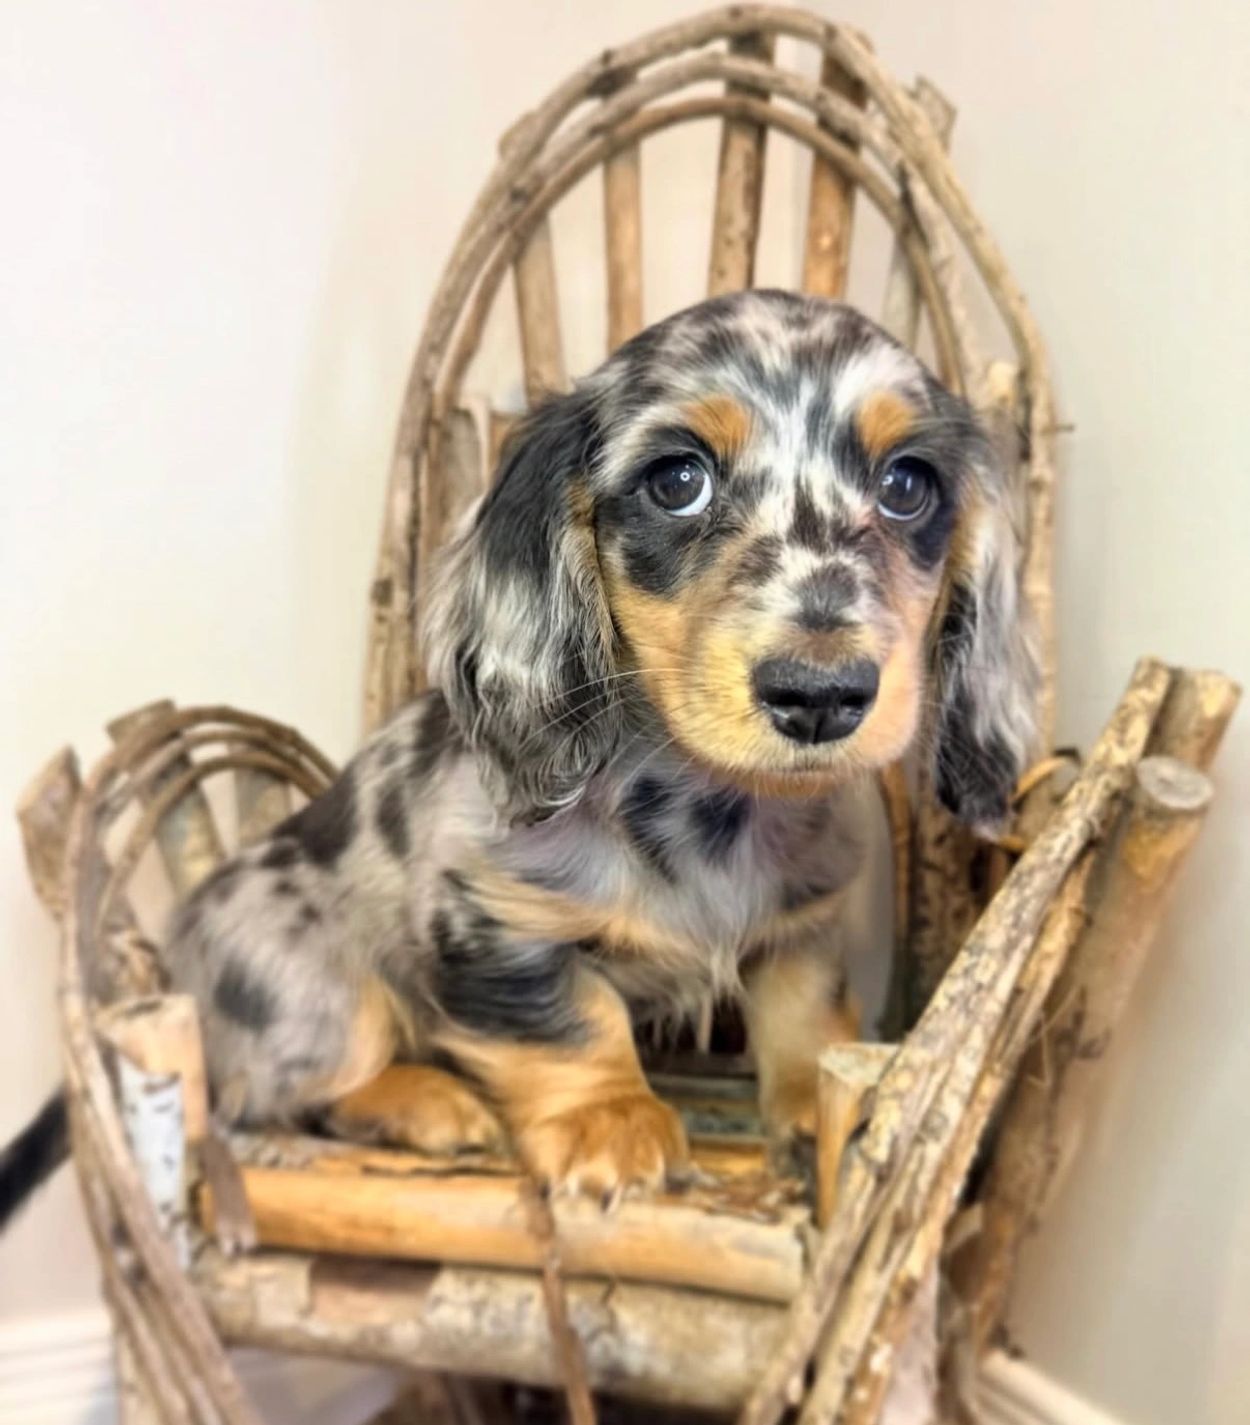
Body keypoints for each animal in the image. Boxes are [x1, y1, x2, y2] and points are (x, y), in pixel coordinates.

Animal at [1, 290, 1036, 1220]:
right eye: (679, 480)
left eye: (907, 484)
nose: (821, 695)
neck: (707, 805)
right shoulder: (493, 921)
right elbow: (570, 1021)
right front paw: (609, 1122)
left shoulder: (803, 924)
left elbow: (803, 1014)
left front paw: (819, 1115)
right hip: (314, 987)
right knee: (281, 1092)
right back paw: (427, 1099)